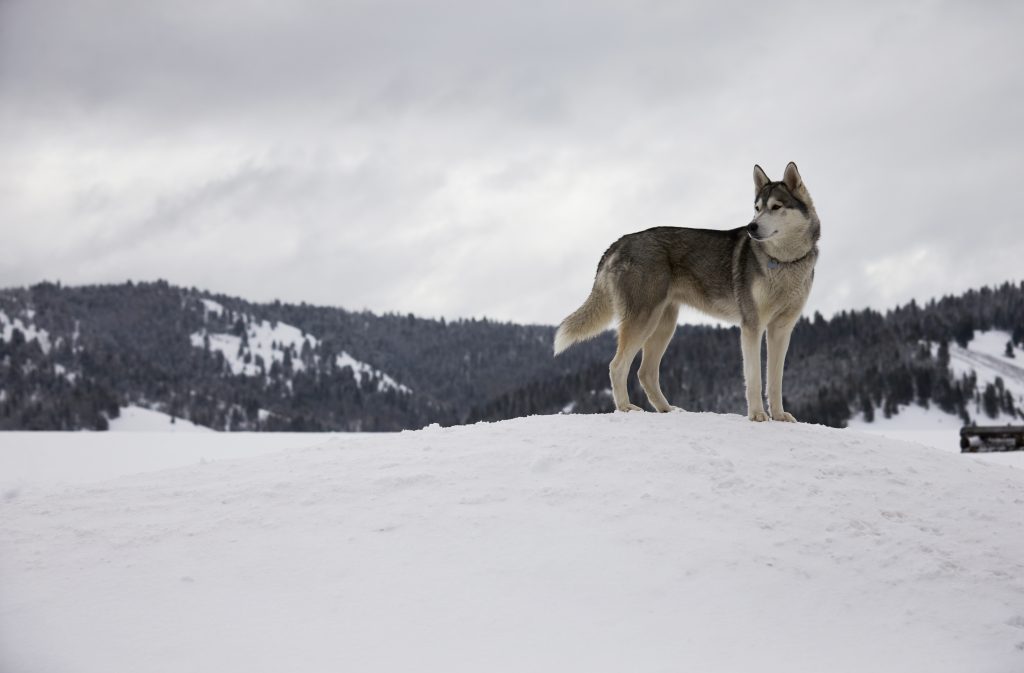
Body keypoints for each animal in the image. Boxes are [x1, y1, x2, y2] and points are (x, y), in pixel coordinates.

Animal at [557, 161, 819, 419]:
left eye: (775, 207)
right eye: (757, 208)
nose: (751, 227)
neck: (784, 261)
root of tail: (619, 242)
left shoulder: (781, 329)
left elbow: (775, 381)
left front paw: (780, 416)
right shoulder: (751, 326)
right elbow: (754, 378)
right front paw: (757, 415)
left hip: (663, 324)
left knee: (645, 372)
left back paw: (667, 409)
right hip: (643, 320)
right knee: (617, 366)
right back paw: (625, 408)